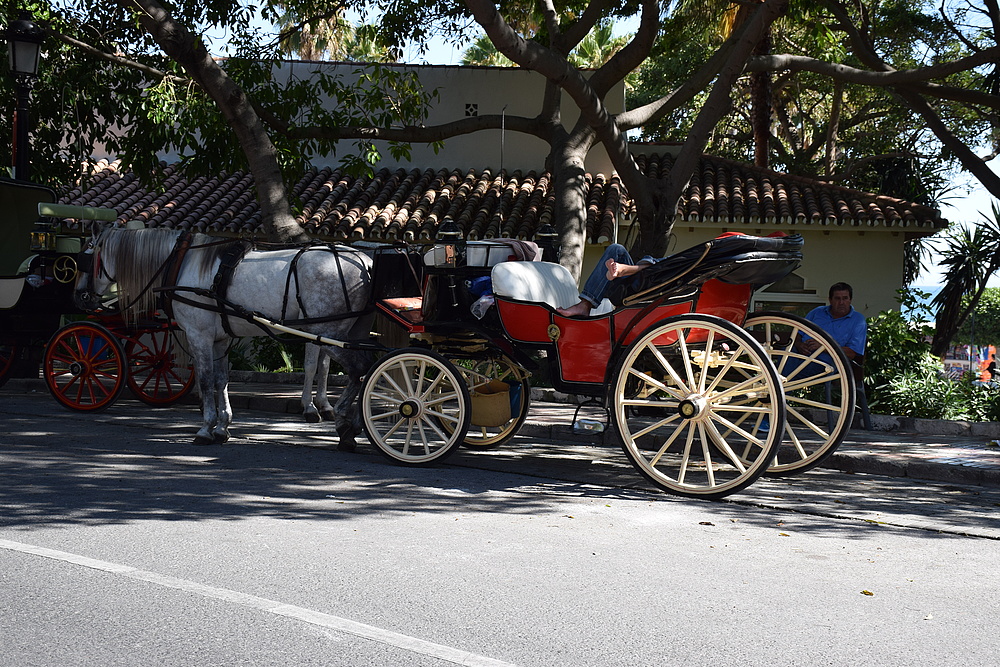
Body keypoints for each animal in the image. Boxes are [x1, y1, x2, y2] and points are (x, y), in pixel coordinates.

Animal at [73, 228, 372, 448]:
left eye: (85, 260)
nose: (80, 297)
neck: (181, 263)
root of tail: (365, 261)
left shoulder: (199, 336)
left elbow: (206, 382)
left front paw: (206, 429)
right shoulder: (221, 339)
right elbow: (221, 381)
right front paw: (222, 426)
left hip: (330, 333)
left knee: (359, 370)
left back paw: (344, 422)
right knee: (363, 371)